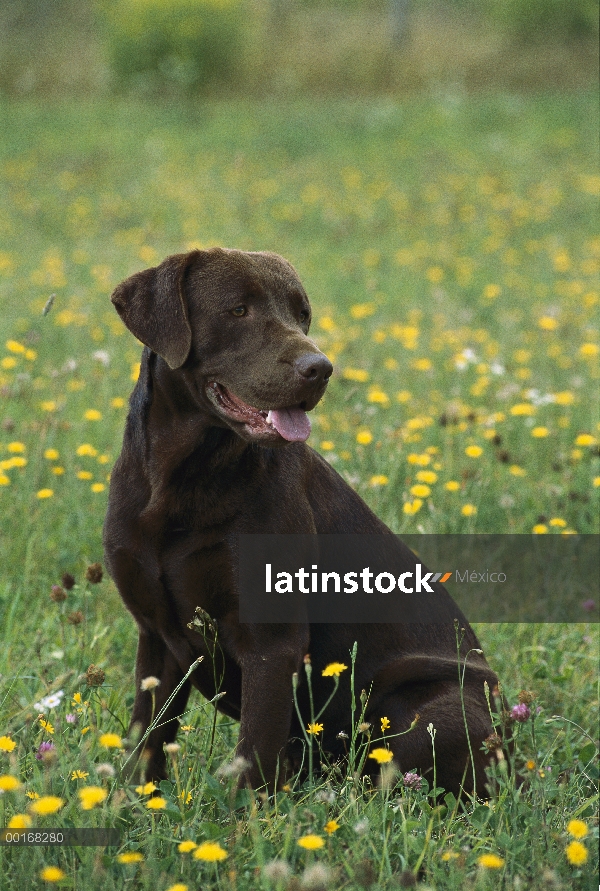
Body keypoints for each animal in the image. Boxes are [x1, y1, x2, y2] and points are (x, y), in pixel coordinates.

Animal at [105, 247, 500, 796]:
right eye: (238, 310)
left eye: (302, 315)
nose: (321, 368)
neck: (180, 480)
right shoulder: (157, 638)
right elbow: (147, 742)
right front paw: (130, 805)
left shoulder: (271, 645)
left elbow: (253, 758)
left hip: (429, 706)